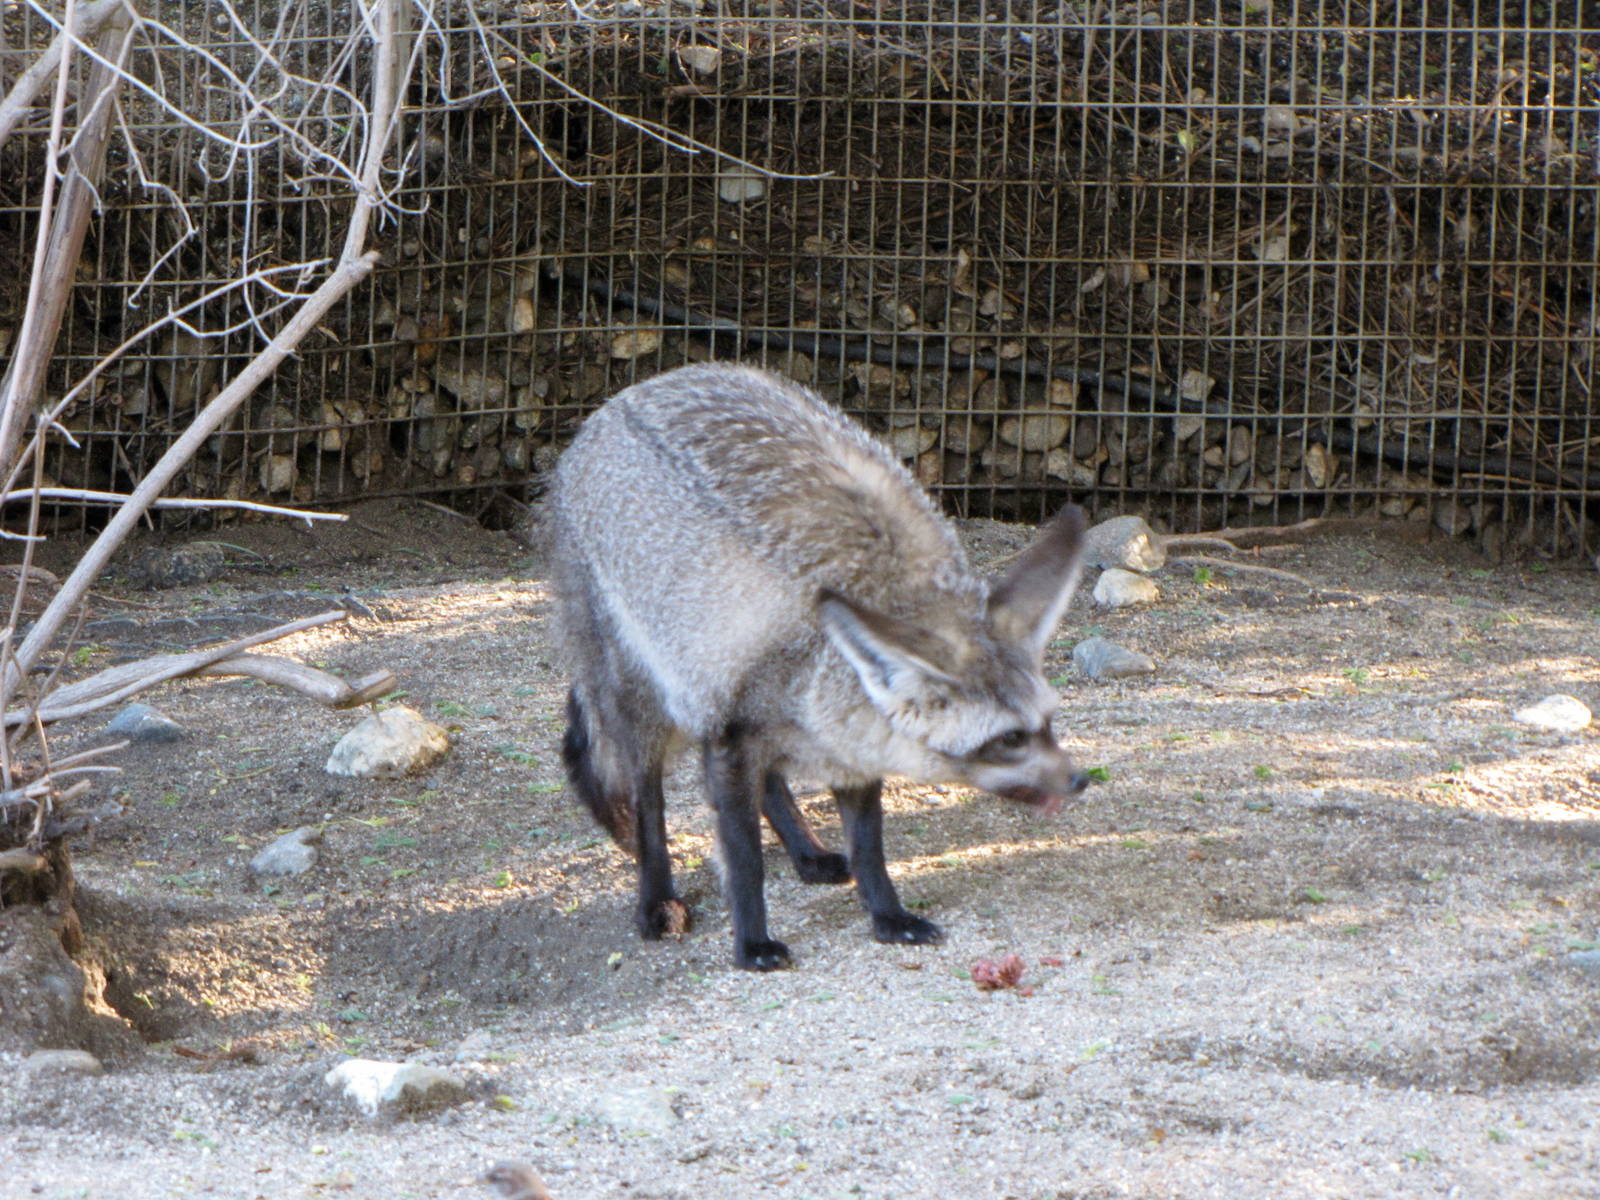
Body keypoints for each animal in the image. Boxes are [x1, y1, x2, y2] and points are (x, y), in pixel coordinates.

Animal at [548, 362, 1090, 970]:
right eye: (1009, 740)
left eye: (1047, 724)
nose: (1080, 779)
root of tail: (628, 394)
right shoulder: (735, 734)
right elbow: (744, 859)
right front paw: (752, 943)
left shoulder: (845, 742)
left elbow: (869, 846)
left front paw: (887, 916)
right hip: (646, 702)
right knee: (648, 798)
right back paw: (658, 897)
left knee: (771, 783)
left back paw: (806, 854)